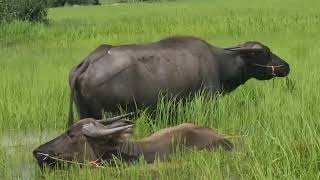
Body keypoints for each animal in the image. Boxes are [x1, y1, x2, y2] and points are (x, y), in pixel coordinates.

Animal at [67, 35, 290, 126]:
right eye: (265, 52)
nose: (286, 66)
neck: (220, 62)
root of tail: (89, 61)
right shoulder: (208, 99)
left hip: (85, 113)